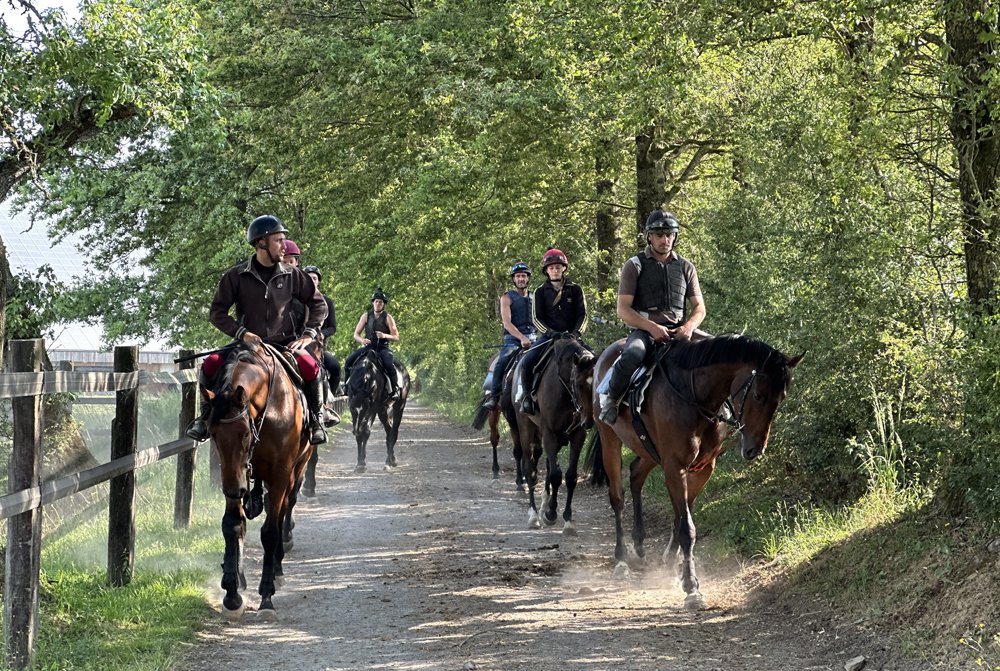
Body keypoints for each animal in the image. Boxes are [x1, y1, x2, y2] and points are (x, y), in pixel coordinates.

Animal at [208, 345, 313, 621]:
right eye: (213, 434)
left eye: (244, 433)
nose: (233, 489)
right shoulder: (234, 473)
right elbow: (233, 525)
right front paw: (232, 595)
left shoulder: (280, 474)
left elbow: (270, 531)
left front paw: (266, 596)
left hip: (298, 467)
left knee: (285, 508)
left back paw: (277, 567)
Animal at [471, 350, 531, 487]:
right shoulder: (513, 420)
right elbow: (518, 450)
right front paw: (519, 482)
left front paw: (525, 478)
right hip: (494, 412)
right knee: (494, 439)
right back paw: (495, 474)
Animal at [513, 333, 597, 532]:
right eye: (578, 384)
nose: (589, 421)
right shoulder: (550, 433)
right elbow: (555, 475)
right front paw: (551, 514)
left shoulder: (577, 435)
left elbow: (570, 476)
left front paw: (567, 519)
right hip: (527, 429)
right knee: (530, 469)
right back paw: (534, 515)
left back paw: (544, 506)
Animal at [586, 334, 802, 609]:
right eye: (759, 395)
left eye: (780, 399)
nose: (755, 449)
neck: (696, 398)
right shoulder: (675, 466)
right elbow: (686, 528)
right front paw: (691, 587)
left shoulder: (702, 469)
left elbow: (681, 518)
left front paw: (672, 567)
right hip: (610, 440)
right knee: (617, 498)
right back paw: (622, 559)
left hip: (648, 450)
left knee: (636, 475)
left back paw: (640, 546)